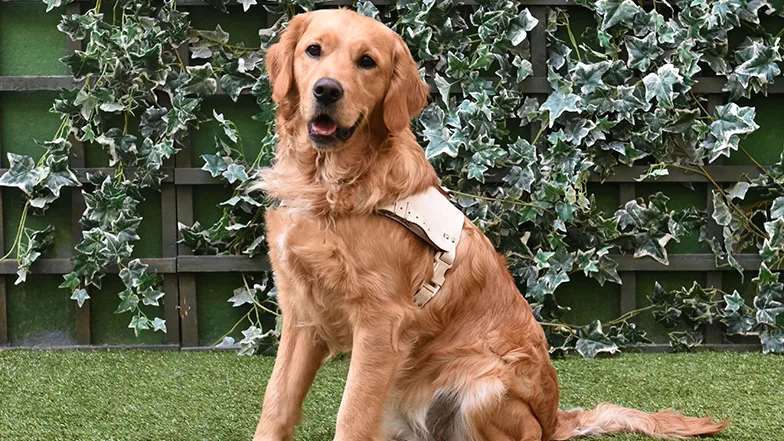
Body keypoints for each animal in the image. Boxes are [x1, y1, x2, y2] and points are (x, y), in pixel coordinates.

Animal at [253, 7, 728, 440]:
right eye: (313, 50)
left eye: (367, 61)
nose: (326, 90)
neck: (329, 186)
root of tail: (554, 419)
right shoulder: (300, 315)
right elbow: (276, 403)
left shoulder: (379, 323)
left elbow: (350, 417)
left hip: (484, 390)